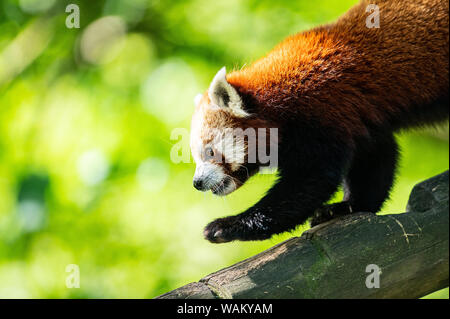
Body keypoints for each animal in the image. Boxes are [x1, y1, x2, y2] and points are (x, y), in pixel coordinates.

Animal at [189, 0, 446, 244]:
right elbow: (375, 161)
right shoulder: (361, 119)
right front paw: (348, 208)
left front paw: (229, 225)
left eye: (210, 152)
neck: (278, 103)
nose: (197, 183)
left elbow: (310, 182)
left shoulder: (321, 113)